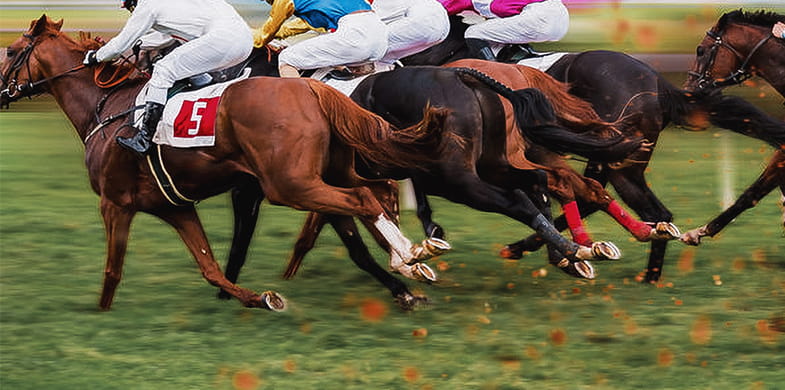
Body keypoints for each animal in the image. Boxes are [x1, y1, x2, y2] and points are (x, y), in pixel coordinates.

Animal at [0, 16, 454, 310]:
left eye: (11, 50)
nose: (2, 91)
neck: (107, 109)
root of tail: (312, 90)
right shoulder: (176, 206)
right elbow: (211, 265)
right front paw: (255, 297)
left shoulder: (114, 203)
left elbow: (113, 269)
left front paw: (101, 315)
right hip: (324, 175)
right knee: (373, 196)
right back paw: (414, 255)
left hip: (290, 184)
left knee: (364, 199)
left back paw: (408, 256)